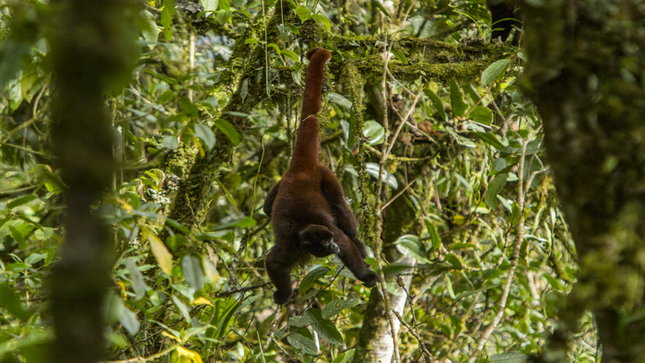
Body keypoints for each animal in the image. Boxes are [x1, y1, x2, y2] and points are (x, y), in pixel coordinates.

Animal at [264, 47, 380, 304]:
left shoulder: (325, 232)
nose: (333, 248)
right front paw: (284, 294)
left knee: (340, 207)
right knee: (268, 207)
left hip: (326, 175)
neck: (302, 235)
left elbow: (347, 244)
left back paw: (359, 242)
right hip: (287, 179)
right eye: (326, 243)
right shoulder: (290, 245)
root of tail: (303, 168)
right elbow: (273, 261)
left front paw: (364, 274)